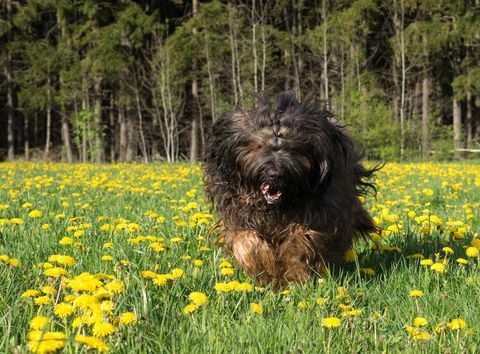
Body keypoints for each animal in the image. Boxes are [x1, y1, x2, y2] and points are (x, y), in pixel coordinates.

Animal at [202, 91, 378, 288]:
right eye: (259, 146)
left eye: (294, 149)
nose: (275, 174)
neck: (275, 208)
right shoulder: (238, 214)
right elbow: (246, 241)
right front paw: (265, 269)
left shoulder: (317, 214)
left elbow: (299, 243)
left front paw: (294, 277)